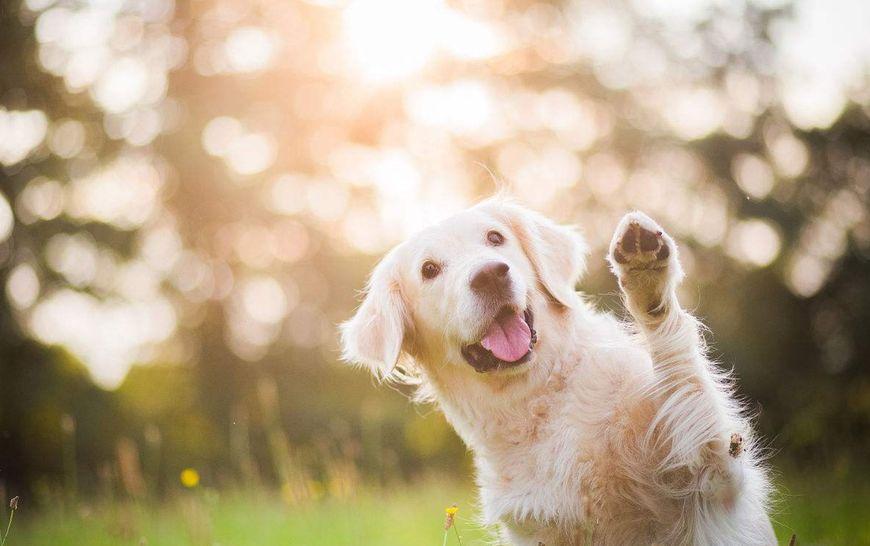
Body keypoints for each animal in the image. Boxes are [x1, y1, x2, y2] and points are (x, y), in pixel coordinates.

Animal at [338, 200, 776, 544]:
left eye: (495, 238)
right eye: (429, 269)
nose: (489, 274)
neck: (540, 399)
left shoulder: (715, 478)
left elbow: (682, 373)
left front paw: (646, 278)